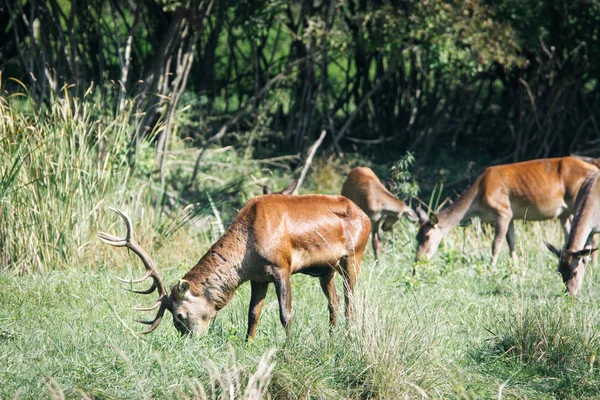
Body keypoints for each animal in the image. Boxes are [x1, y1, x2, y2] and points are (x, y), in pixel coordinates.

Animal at [98, 195, 370, 340]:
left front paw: (288, 346)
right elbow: (253, 314)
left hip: (354, 257)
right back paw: (331, 337)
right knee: (334, 301)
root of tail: (366, 216)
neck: (246, 255)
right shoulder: (259, 277)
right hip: (327, 269)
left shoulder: (281, 266)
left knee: (350, 301)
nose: (188, 341)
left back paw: (348, 337)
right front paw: (248, 343)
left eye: (179, 315)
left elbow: (285, 314)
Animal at [418, 157, 600, 268]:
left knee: (592, 233)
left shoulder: (503, 211)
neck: (477, 202)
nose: (417, 261)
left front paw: (491, 267)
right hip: (564, 213)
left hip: (577, 201)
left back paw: (592, 264)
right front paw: (514, 265)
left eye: (426, 237)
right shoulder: (511, 217)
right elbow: (511, 241)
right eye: (416, 237)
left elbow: (496, 244)